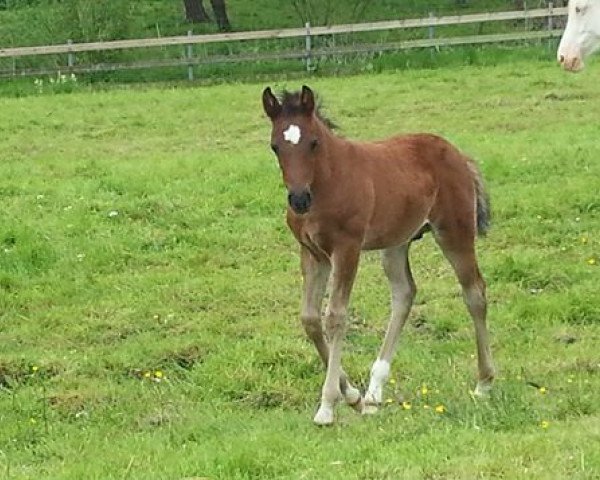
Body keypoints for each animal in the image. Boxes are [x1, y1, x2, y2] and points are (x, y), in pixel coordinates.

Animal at [262, 85, 492, 424]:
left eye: (313, 143)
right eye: (275, 146)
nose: (299, 199)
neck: (328, 181)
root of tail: (458, 154)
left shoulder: (347, 247)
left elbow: (335, 317)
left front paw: (328, 405)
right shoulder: (312, 253)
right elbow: (310, 319)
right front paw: (353, 396)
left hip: (454, 231)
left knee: (474, 292)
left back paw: (484, 382)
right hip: (396, 242)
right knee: (404, 293)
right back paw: (373, 392)